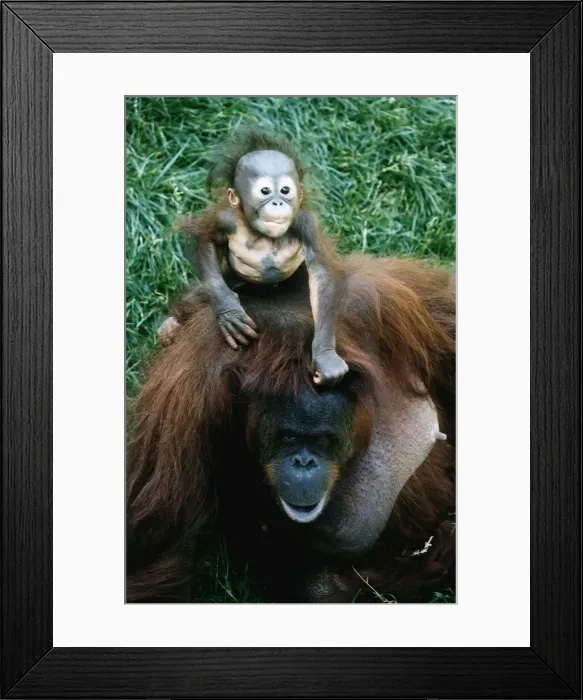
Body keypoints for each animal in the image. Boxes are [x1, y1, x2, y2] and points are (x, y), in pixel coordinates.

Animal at [157, 129, 349, 386]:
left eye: (285, 190)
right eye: (265, 191)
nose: (278, 202)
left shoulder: (307, 223)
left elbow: (321, 276)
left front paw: (326, 359)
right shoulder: (225, 218)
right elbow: (205, 241)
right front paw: (230, 311)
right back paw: (172, 324)